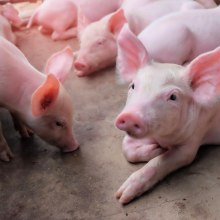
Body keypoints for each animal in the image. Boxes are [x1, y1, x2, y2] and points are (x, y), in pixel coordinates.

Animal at [114, 25, 220, 205]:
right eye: (133, 85)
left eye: (173, 97)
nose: (130, 116)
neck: (162, 137)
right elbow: (126, 148)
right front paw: (156, 149)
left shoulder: (193, 141)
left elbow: (164, 162)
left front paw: (122, 196)